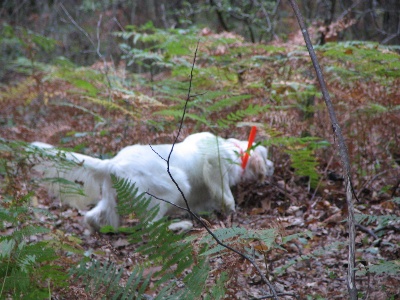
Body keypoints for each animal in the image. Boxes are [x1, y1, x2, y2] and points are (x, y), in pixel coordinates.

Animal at [32, 132, 276, 232]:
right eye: (265, 157)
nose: (273, 165)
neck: (233, 149)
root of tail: (112, 163)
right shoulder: (215, 165)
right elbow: (225, 194)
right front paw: (231, 211)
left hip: (112, 200)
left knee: (93, 217)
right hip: (173, 186)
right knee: (151, 225)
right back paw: (179, 226)